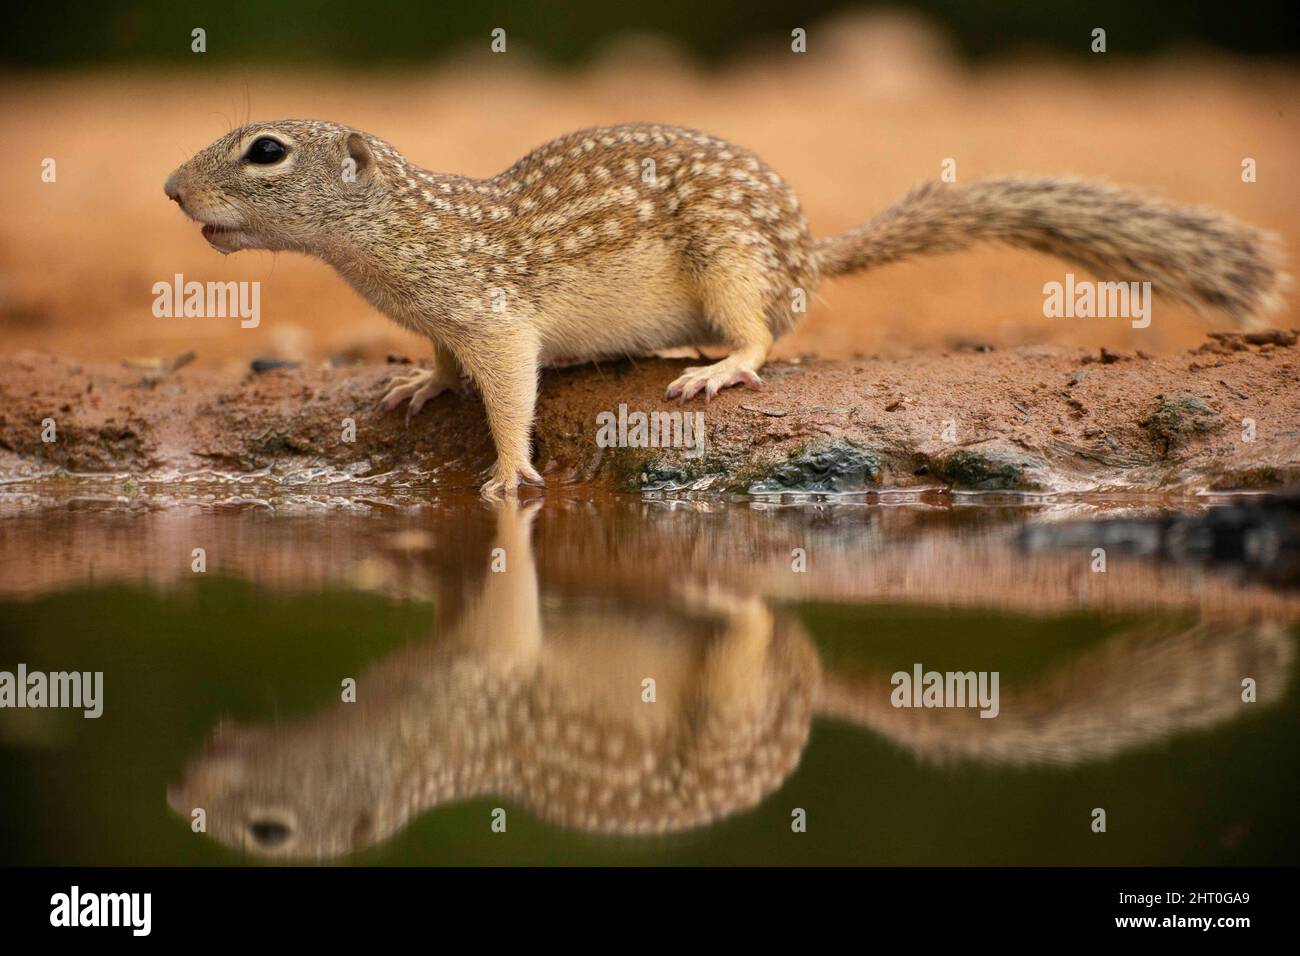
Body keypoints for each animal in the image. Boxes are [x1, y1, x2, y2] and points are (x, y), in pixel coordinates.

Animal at [164, 121, 1285, 497]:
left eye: (266, 149)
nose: (173, 192)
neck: (393, 238)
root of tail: (807, 255)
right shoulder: (447, 322)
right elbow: (448, 369)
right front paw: (413, 389)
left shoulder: (495, 316)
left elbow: (513, 389)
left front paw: (510, 469)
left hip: (733, 264)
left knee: (762, 335)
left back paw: (717, 366)